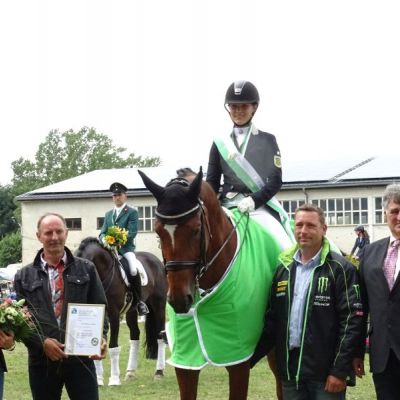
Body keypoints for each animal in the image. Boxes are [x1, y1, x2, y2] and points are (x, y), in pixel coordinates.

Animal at [76, 238, 167, 386]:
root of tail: (156, 260)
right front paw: (99, 379)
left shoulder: (113, 315)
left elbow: (113, 347)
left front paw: (113, 379)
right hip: (132, 311)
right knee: (135, 336)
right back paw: (130, 373)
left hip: (159, 306)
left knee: (161, 336)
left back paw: (159, 372)